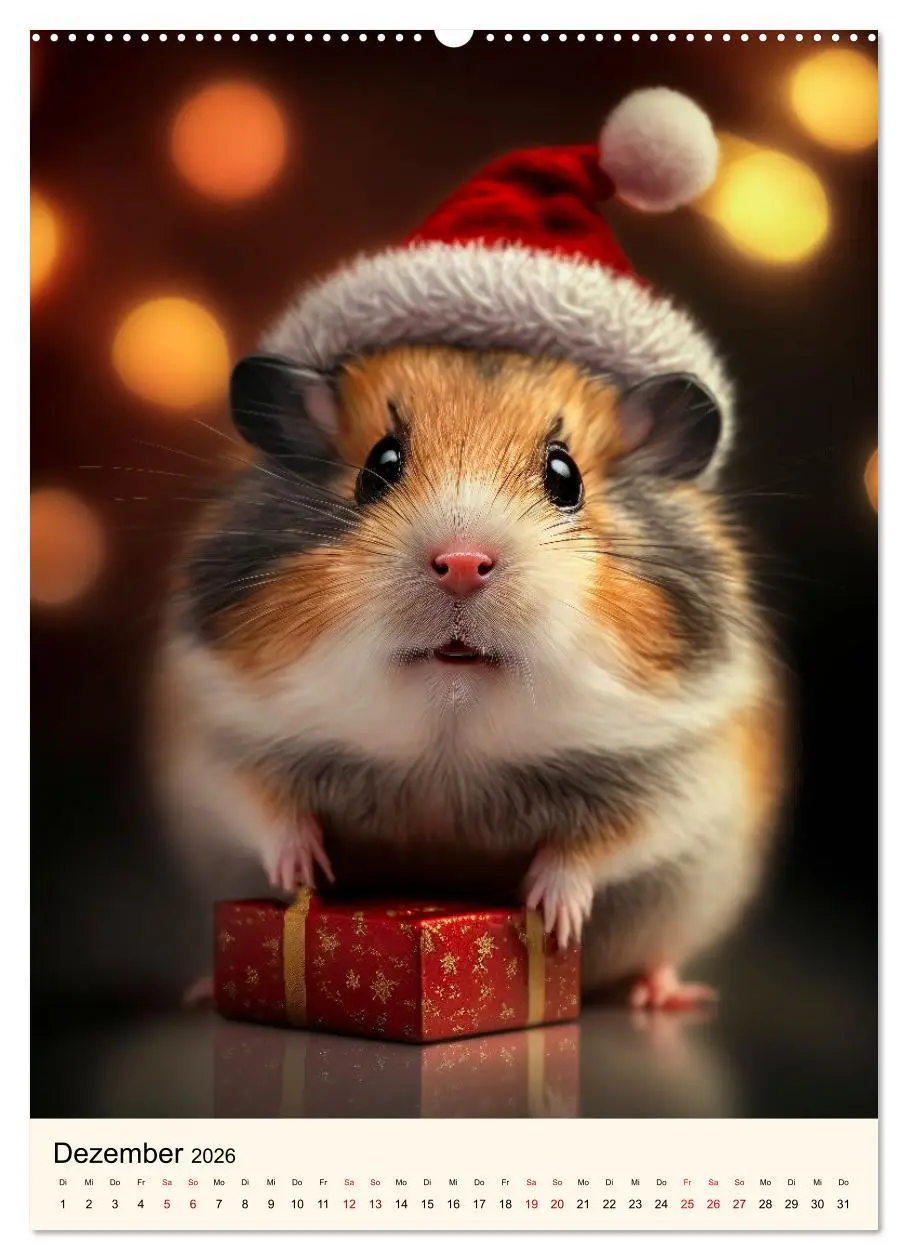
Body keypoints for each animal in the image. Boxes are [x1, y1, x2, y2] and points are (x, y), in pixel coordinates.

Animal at [153, 342, 786, 1008]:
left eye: (566, 477)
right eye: (379, 466)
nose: (461, 563)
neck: (448, 744)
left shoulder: (677, 782)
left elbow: (592, 849)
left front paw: (549, 915)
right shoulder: (221, 744)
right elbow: (269, 811)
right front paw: (306, 872)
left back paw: (668, 996)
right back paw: (203, 989)